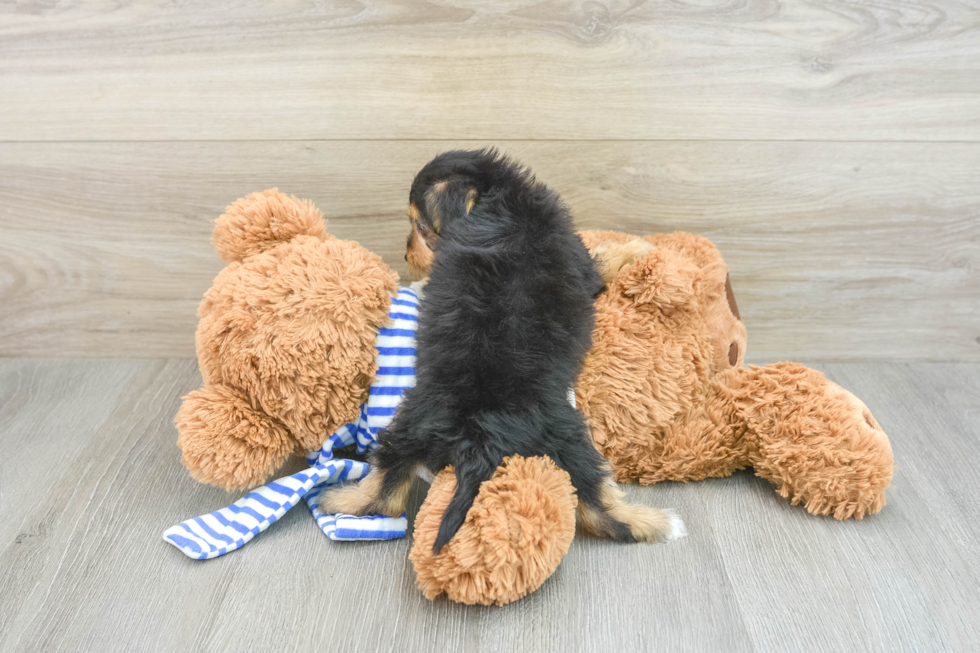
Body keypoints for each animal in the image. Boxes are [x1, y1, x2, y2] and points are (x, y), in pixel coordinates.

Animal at [320, 148, 680, 552]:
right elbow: (600, 258)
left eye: (420, 228)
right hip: (569, 436)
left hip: (412, 422)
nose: (406, 255)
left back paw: (338, 499)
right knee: (600, 507)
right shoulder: (580, 262)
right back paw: (657, 523)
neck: (502, 196)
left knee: (386, 484)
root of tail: (479, 432)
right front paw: (637, 248)